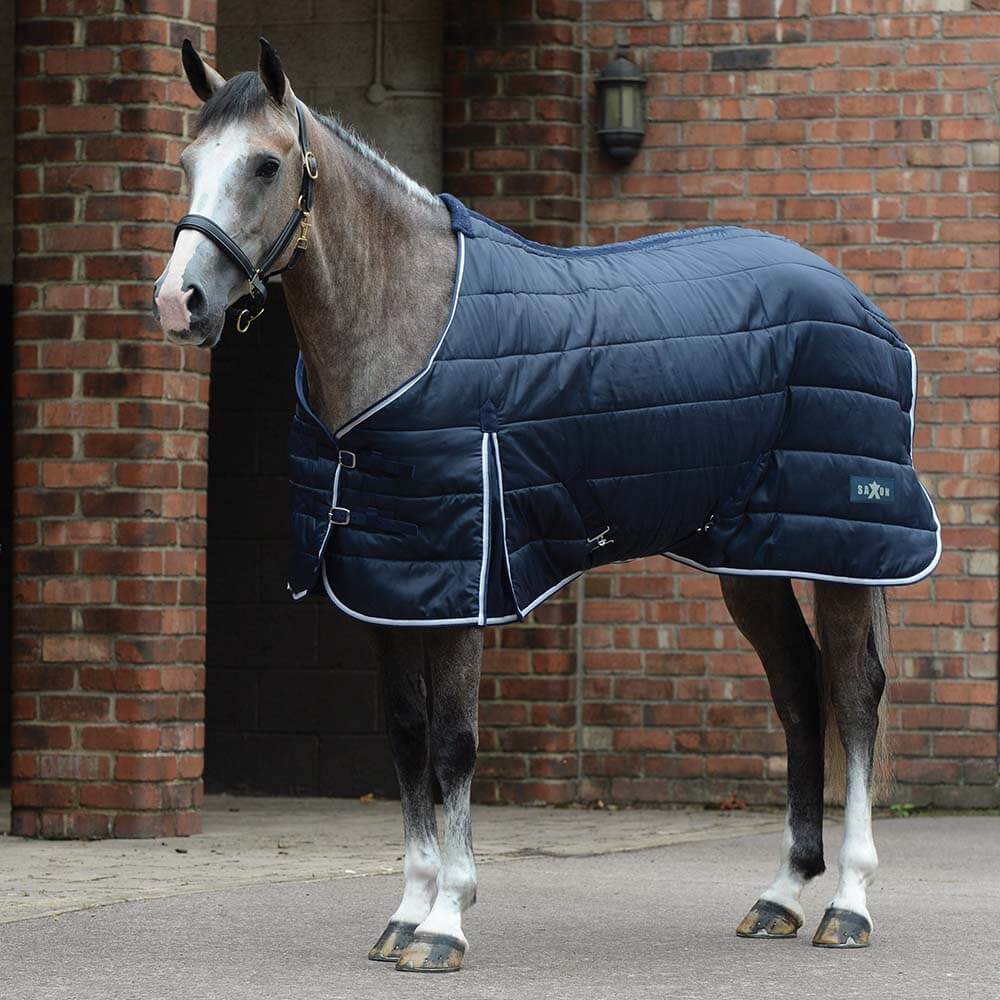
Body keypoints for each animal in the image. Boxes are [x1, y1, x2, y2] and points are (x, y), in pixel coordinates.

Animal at [154, 38, 920, 971]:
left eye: (265, 164)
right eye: (187, 162)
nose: (178, 301)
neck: (410, 328)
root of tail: (855, 300)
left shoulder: (464, 586)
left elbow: (454, 743)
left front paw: (446, 922)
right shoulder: (387, 585)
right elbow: (407, 736)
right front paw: (405, 914)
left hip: (842, 549)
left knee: (853, 694)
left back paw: (848, 905)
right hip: (755, 557)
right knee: (798, 691)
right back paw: (779, 895)